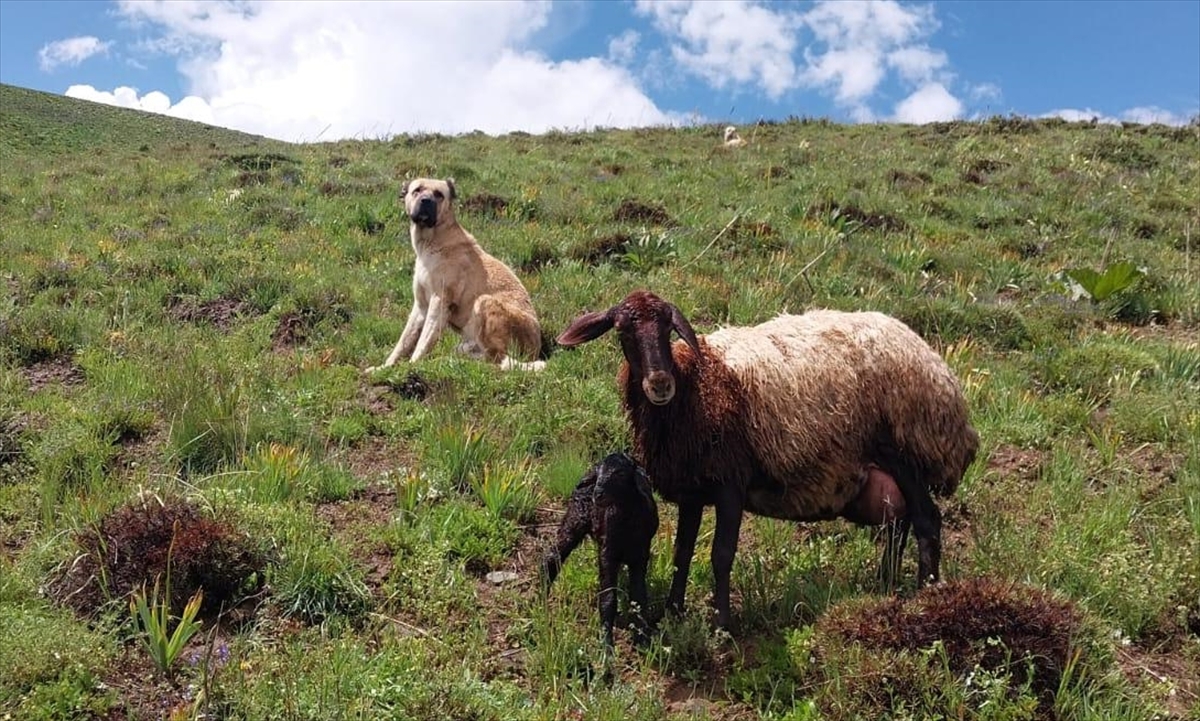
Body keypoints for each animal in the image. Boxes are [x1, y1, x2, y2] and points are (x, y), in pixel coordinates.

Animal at [367, 178, 547, 371]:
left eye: (439, 194)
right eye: (417, 190)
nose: (426, 201)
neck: (432, 241)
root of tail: (536, 348)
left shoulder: (440, 302)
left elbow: (423, 342)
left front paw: (412, 366)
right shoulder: (421, 306)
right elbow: (403, 342)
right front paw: (383, 368)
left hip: (484, 302)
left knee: (497, 360)